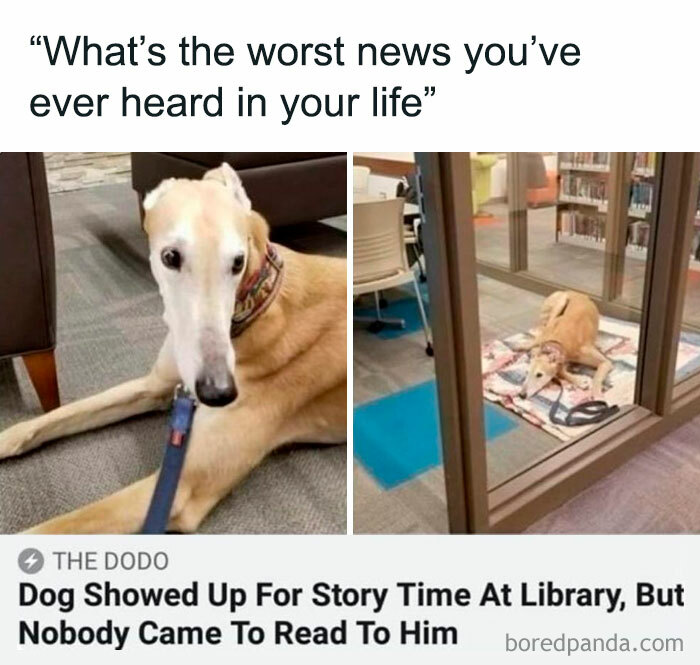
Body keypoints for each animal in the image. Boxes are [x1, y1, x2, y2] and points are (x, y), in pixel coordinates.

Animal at [0, 162, 348, 536]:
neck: (258, 306)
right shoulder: (155, 386)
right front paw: (7, 437)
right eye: (170, 256)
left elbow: (58, 525)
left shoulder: (181, 487)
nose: (218, 392)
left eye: (237, 262)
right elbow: (63, 413)